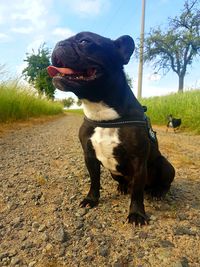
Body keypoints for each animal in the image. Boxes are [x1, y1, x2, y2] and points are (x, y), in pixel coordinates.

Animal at [47, 31, 175, 226]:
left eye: (84, 41)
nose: (58, 44)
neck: (103, 115)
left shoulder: (139, 162)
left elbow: (137, 192)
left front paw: (137, 214)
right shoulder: (89, 156)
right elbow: (94, 180)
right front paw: (91, 199)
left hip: (165, 165)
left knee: (159, 183)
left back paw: (157, 192)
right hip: (114, 172)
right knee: (126, 183)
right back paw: (122, 187)